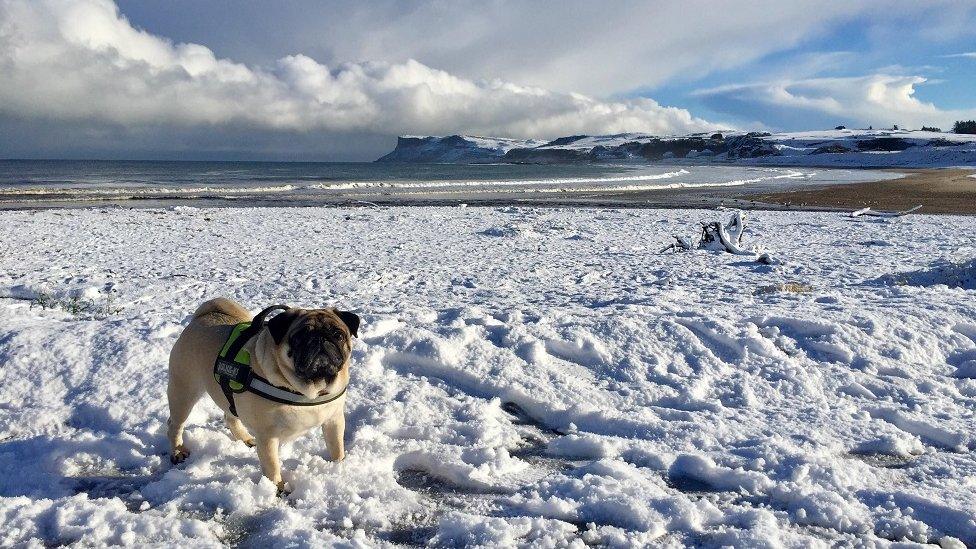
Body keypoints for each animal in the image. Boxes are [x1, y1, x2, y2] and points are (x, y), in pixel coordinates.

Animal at [166, 298, 360, 494]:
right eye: (299, 337)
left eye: (338, 335)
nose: (320, 339)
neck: (311, 390)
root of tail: (200, 318)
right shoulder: (268, 437)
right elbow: (272, 467)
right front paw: (279, 489)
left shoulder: (334, 420)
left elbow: (336, 447)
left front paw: (339, 466)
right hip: (184, 391)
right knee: (175, 424)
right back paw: (178, 451)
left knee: (230, 416)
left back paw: (244, 439)